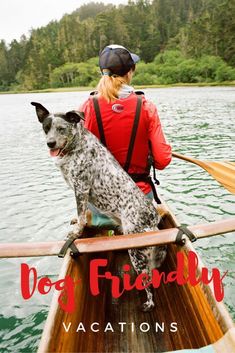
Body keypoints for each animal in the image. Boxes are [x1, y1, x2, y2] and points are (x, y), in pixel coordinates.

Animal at [31, 102, 167, 310]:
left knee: (149, 283)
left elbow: (81, 215)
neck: (76, 146)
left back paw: (148, 304)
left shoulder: (81, 187)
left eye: (62, 128)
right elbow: (81, 213)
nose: (50, 143)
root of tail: (153, 222)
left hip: (137, 253)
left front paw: (76, 232)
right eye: (46, 128)